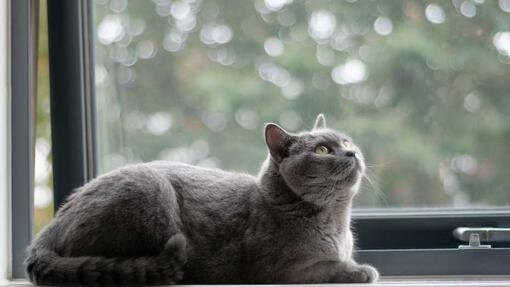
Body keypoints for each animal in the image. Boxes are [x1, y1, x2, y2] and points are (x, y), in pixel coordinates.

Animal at [24, 114, 378, 286]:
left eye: (347, 141)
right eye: (323, 149)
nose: (353, 153)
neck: (336, 219)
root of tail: (54, 221)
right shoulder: (282, 271)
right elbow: (330, 268)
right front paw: (362, 270)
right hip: (149, 190)